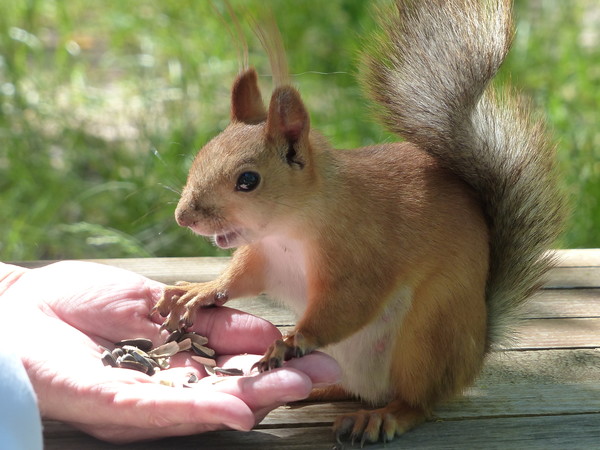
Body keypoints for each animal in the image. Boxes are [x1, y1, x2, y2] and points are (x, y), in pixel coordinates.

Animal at [152, 0, 564, 442]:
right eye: (200, 154)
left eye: (248, 180)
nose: (183, 218)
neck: (289, 231)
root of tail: (474, 354)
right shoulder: (262, 257)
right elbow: (239, 278)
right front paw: (198, 291)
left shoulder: (363, 253)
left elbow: (350, 304)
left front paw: (292, 340)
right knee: (350, 387)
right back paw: (315, 389)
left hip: (427, 336)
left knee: (416, 401)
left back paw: (383, 416)